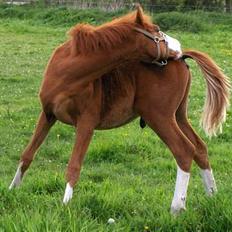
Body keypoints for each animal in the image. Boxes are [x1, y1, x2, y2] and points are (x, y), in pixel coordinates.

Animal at [8, 10, 229, 214]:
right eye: (157, 29)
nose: (178, 45)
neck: (68, 72)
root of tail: (183, 59)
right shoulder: (47, 115)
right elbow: (27, 155)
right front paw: (11, 191)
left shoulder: (86, 123)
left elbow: (74, 165)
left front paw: (65, 207)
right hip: (177, 116)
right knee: (199, 148)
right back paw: (212, 195)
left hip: (159, 116)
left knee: (184, 150)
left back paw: (177, 207)